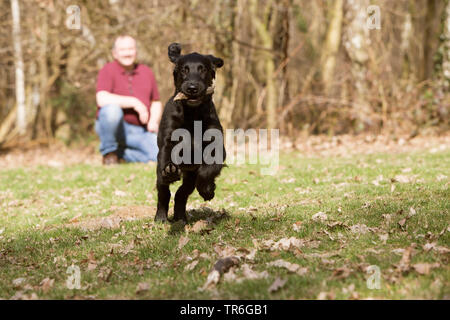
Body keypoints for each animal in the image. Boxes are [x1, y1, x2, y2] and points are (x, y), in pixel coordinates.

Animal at [156, 42, 227, 224]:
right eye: (184, 70)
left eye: (202, 69)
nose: (192, 88)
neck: (192, 114)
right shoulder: (168, 139)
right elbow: (167, 154)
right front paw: (170, 170)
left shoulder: (216, 147)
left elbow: (208, 170)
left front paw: (208, 190)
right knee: (164, 192)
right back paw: (161, 217)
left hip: (190, 176)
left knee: (182, 193)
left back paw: (180, 217)